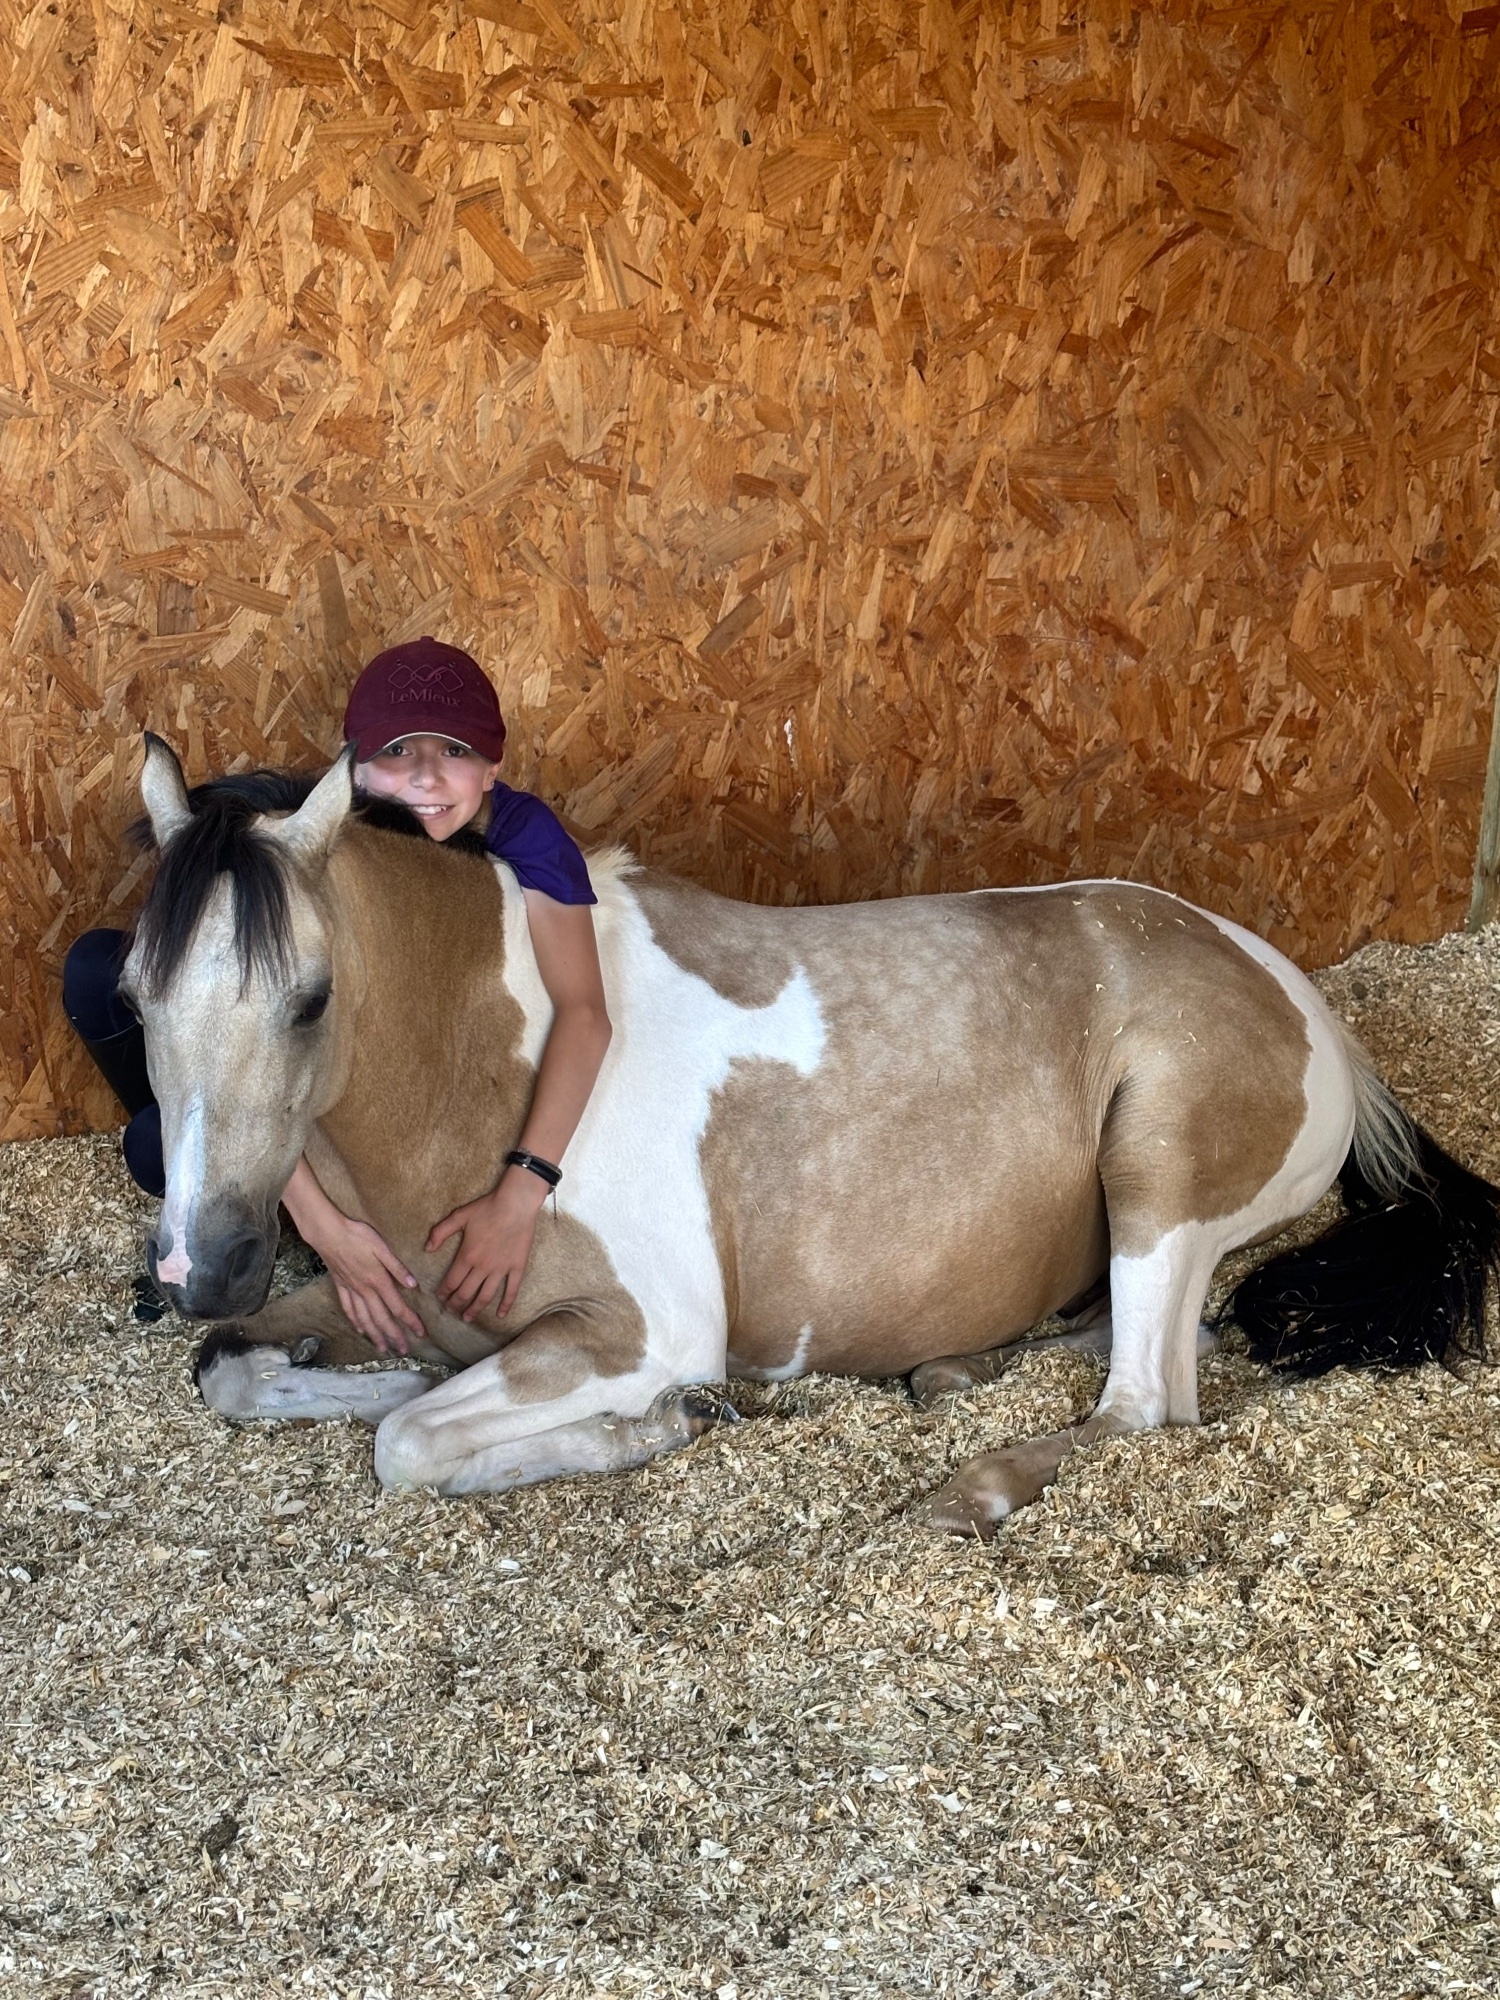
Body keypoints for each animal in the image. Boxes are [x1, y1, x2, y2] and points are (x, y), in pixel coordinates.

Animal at [119, 735, 1500, 1537]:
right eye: (135, 994)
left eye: (310, 997)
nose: (198, 1268)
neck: (490, 1066)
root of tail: (1306, 1003)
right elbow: (241, 1372)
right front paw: (368, 1371)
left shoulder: (640, 1329)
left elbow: (407, 1445)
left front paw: (654, 1426)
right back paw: (953, 1374)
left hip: (1154, 1168)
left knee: (1146, 1401)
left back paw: (969, 1489)